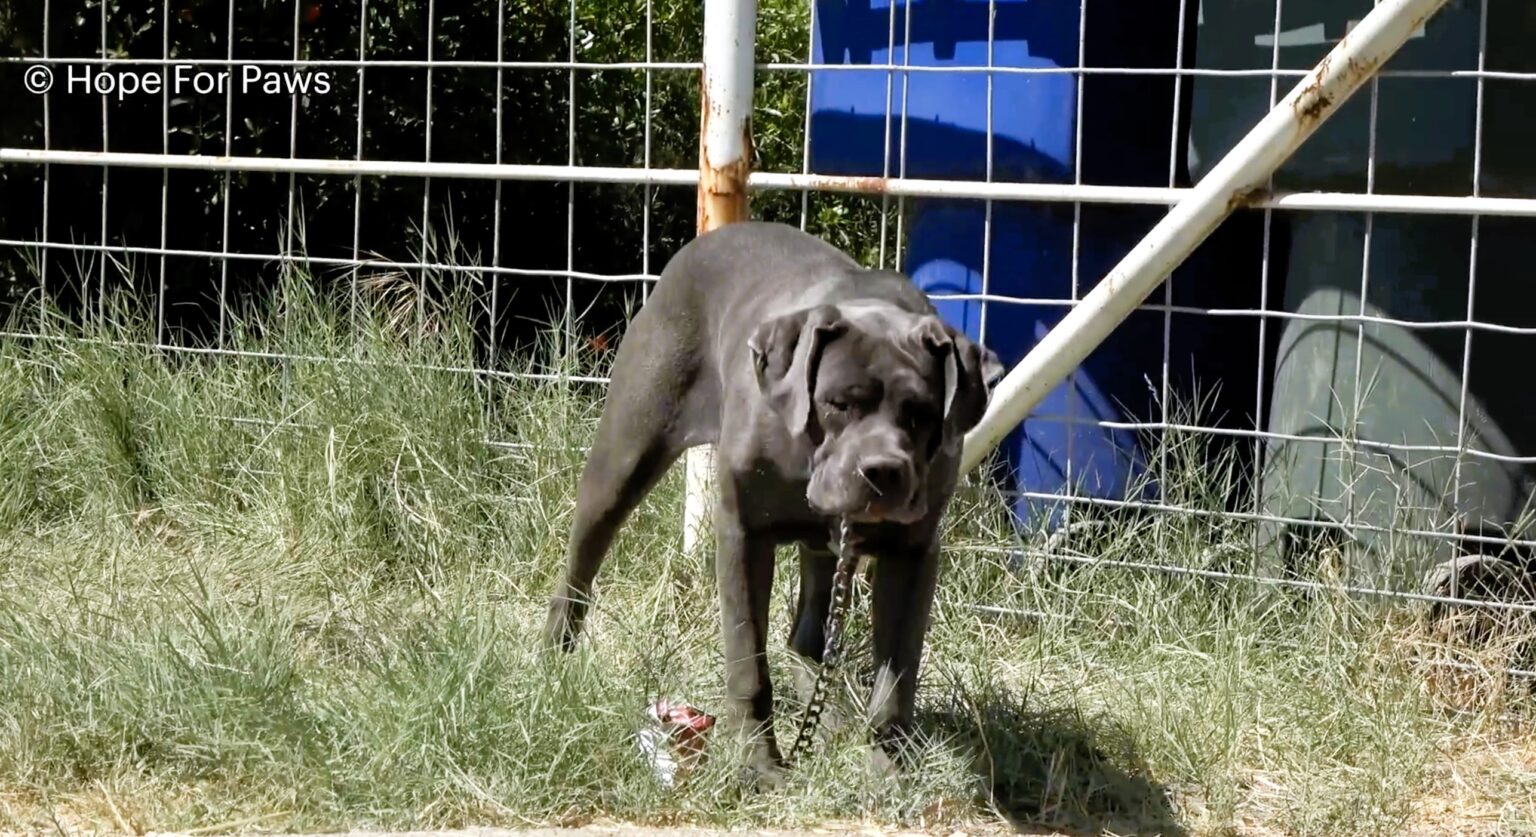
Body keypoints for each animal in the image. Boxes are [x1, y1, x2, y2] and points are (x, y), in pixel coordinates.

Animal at [543, 218, 1007, 786]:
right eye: (838, 403)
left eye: (920, 413)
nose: (883, 471)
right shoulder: (743, 534)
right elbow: (748, 662)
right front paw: (756, 763)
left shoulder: (913, 552)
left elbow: (896, 679)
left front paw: (889, 770)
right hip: (625, 452)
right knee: (581, 564)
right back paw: (553, 658)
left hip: (826, 548)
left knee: (807, 634)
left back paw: (826, 711)